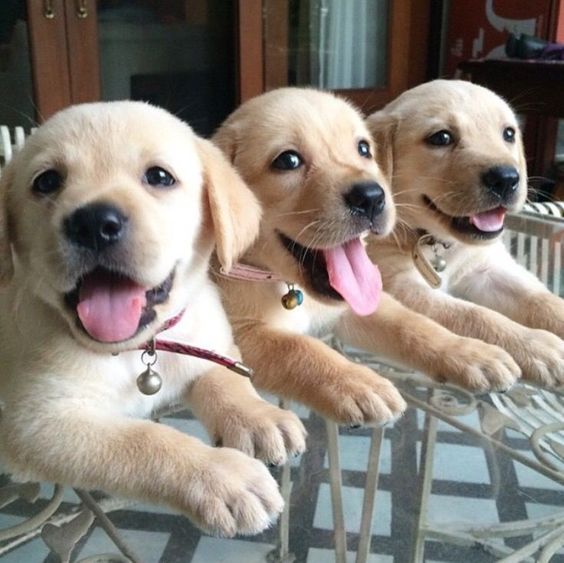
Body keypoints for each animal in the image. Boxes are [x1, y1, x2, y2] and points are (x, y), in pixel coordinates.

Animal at [0, 101, 306, 536]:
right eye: (46, 182)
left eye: (159, 176)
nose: (93, 223)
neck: (140, 348)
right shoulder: (36, 422)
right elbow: (144, 439)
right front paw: (222, 477)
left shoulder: (212, 340)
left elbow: (224, 378)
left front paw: (259, 417)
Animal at [214, 88, 524, 428]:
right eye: (288, 160)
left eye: (364, 149)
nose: (372, 197)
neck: (285, 285)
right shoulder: (238, 334)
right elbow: (299, 347)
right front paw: (357, 383)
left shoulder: (364, 303)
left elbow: (414, 326)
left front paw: (471, 353)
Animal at [366, 79, 564, 388]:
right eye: (442, 138)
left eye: (509, 133)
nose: (507, 178)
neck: (437, 242)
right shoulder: (401, 287)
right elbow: (476, 314)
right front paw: (536, 345)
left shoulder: (488, 269)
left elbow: (541, 299)